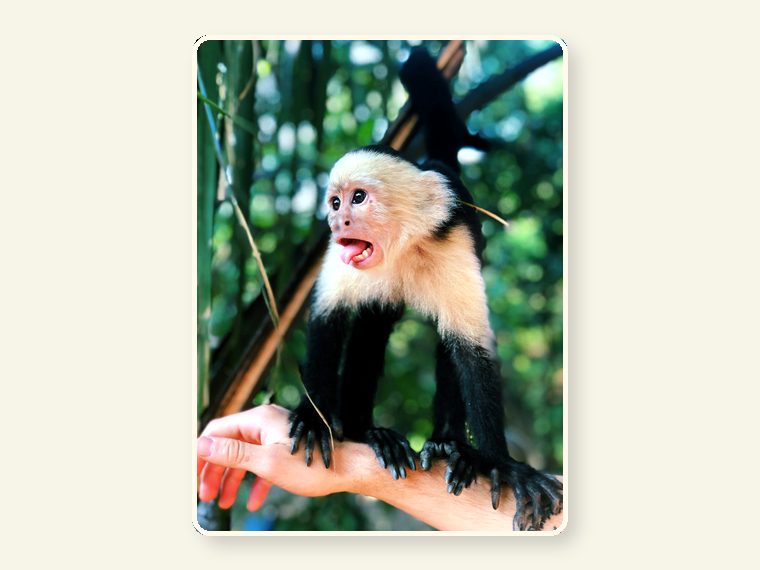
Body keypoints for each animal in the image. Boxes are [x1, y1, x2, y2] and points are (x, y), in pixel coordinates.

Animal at [288, 48, 562, 531]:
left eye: (358, 198)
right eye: (335, 202)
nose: (337, 221)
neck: (402, 244)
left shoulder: (453, 240)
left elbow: (471, 351)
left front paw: (504, 465)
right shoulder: (341, 257)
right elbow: (328, 318)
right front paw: (313, 416)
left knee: (448, 340)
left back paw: (451, 447)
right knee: (371, 328)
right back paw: (366, 432)